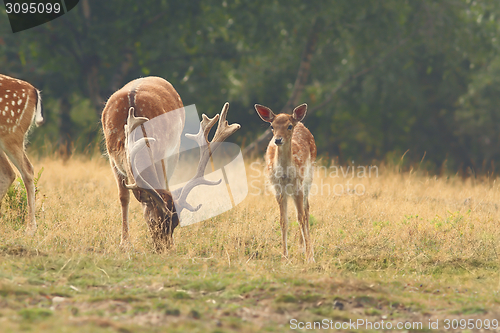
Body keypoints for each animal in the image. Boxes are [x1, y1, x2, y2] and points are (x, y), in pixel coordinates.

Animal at [101, 76, 238, 250]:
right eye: (153, 221)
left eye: (176, 223)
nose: (166, 248)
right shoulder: (113, 159)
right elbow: (123, 197)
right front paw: (125, 243)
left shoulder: (161, 154)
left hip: (175, 149)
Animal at [256, 104, 314, 262]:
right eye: (272, 126)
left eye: (289, 126)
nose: (277, 140)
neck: (285, 175)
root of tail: (300, 122)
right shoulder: (278, 190)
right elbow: (283, 221)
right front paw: (284, 256)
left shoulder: (298, 187)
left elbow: (301, 218)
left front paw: (310, 257)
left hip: (309, 177)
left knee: (306, 210)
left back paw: (304, 249)